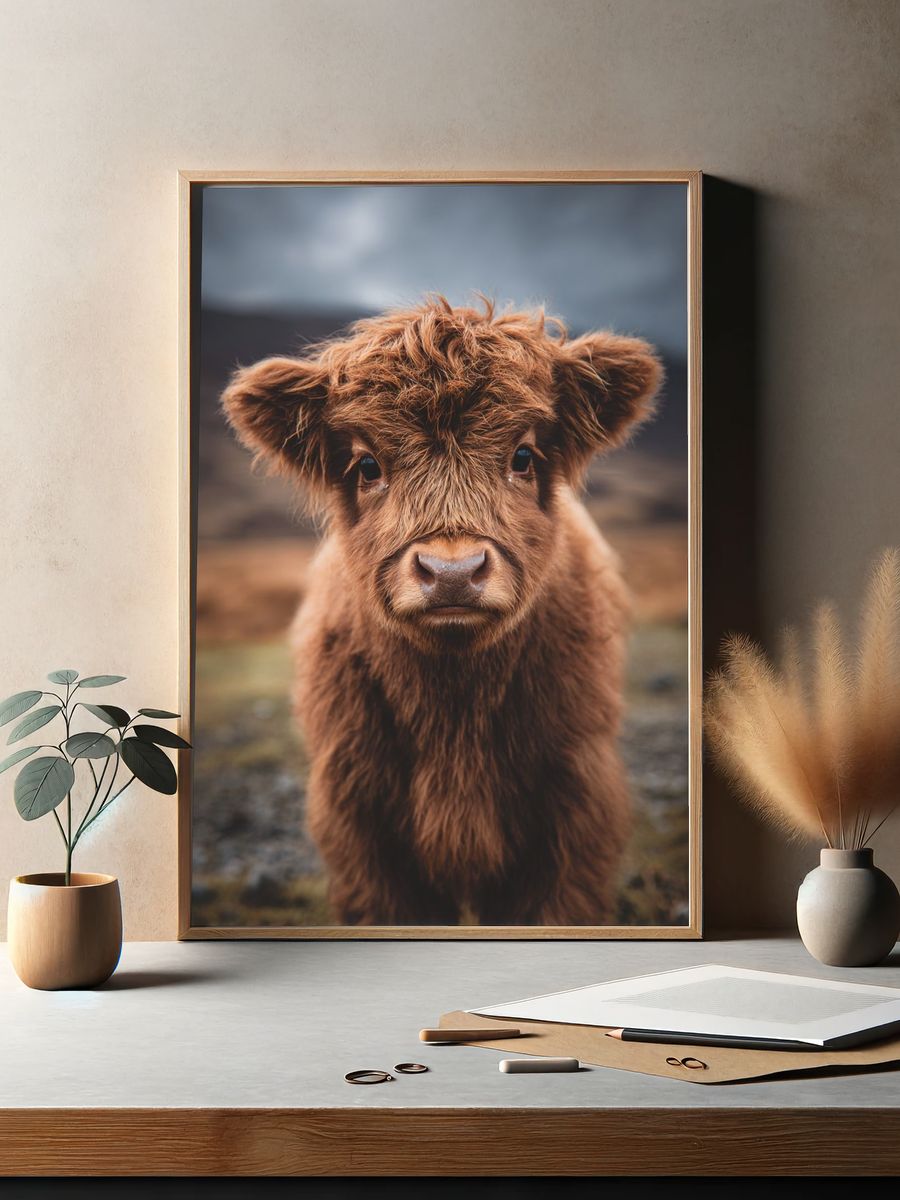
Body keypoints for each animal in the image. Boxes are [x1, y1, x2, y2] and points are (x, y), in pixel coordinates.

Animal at [222, 297, 662, 926]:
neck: (455, 713)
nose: (452, 572)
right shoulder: (360, 825)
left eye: (522, 456)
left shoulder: (573, 804)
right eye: (368, 466)